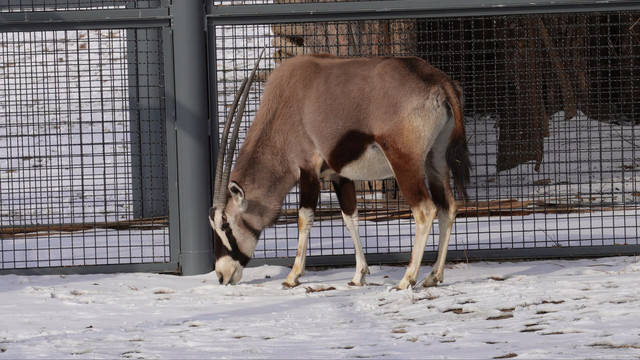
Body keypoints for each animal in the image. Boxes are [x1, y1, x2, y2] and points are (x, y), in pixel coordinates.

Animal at [210, 52, 470, 290]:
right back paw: (433, 276)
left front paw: (293, 276)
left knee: (425, 211)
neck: (283, 105)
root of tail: (438, 81)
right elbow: (350, 217)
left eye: (225, 224)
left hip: (405, 162)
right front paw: (359, 275)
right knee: (448, 207)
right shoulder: (339, 175)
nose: (222, 275)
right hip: (435, 161)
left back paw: (407, 280)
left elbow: (304, 218)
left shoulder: (308, 169)